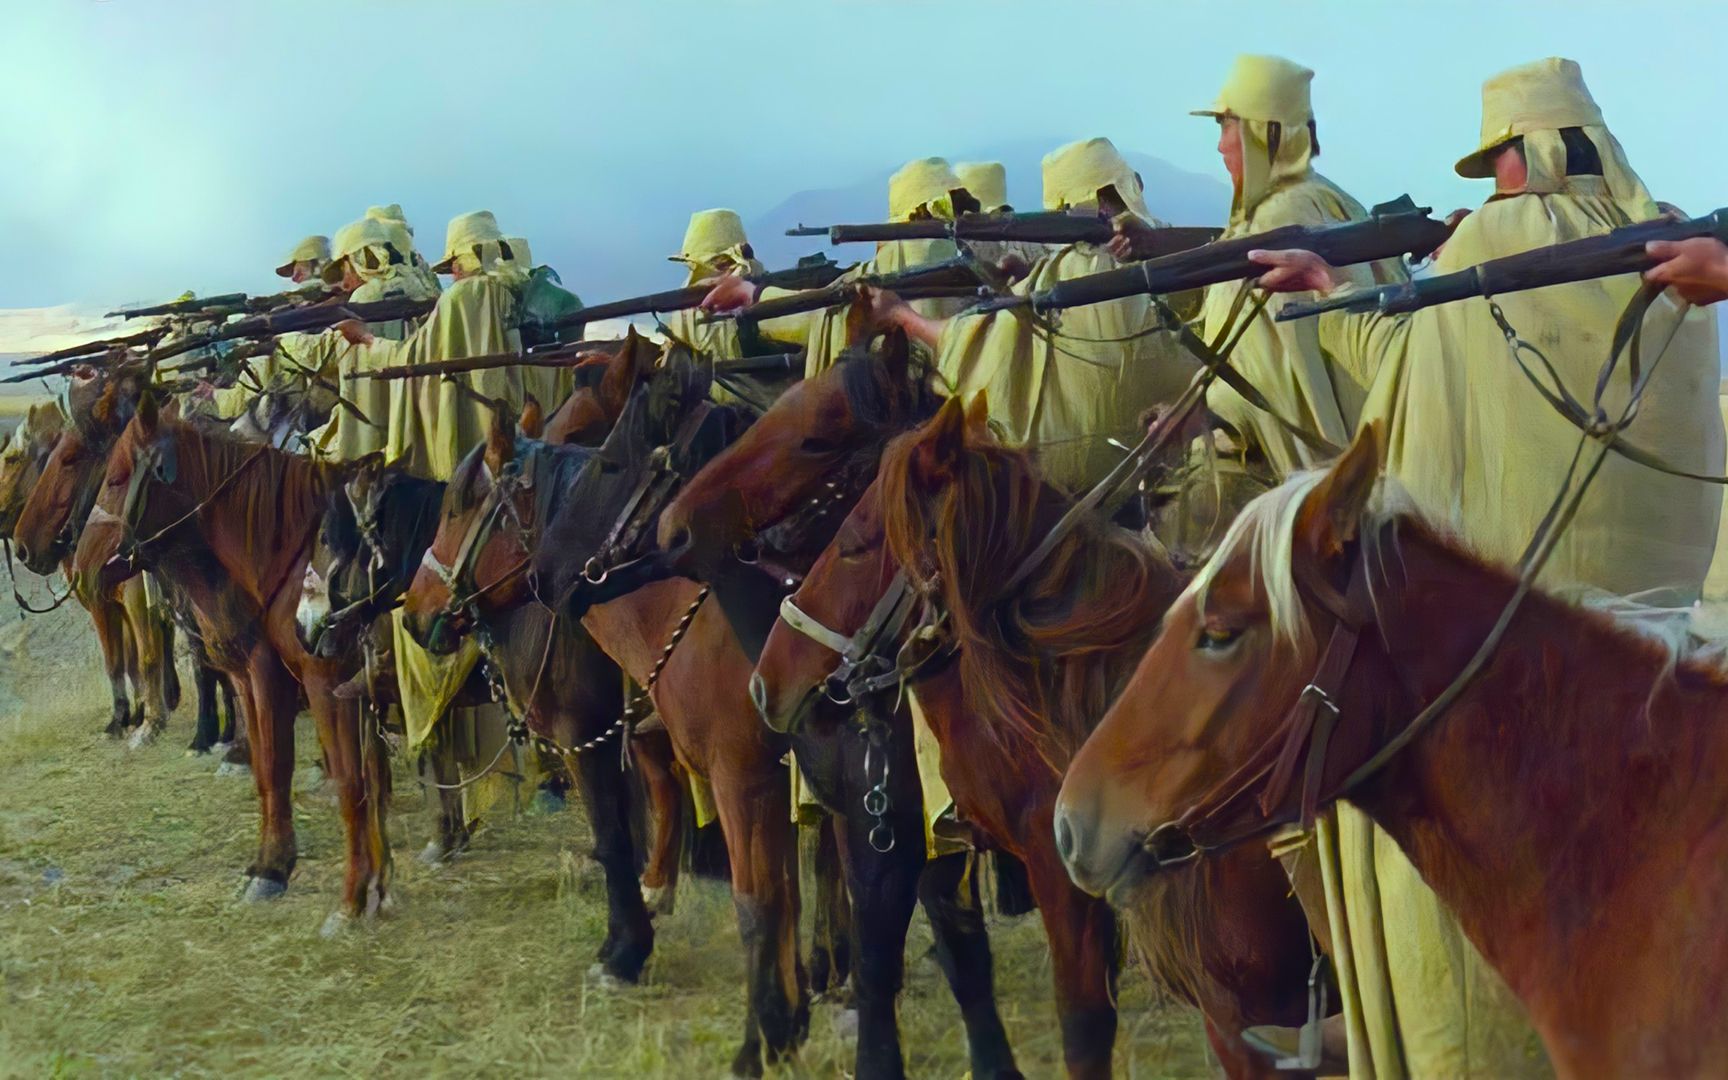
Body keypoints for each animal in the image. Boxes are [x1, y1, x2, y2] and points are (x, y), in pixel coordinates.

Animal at [73, 400, 388, 919]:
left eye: (117, 479)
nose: (82, 569)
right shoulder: (249, 677)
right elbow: (265, 766)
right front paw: (271, 861)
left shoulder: (310, 681)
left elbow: (316, 772)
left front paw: (283, 871)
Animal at [656, 343, 1029, 1078]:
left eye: (815, 440)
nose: (672, 528)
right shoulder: (907, 825)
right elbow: (952, 947)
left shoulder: (892, 824)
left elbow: (901, 949)